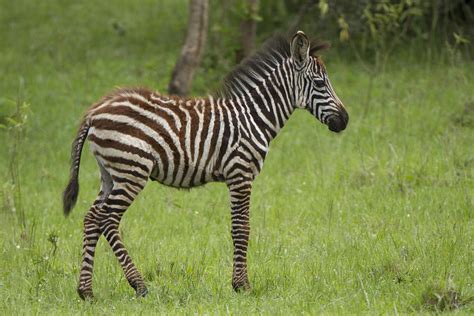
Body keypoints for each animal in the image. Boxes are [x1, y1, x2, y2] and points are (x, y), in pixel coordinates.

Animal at [63, 30, 348, 300]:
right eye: (320, 83)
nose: (345, 120)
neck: (253, 116)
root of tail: (95, 110)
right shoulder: (240, 174)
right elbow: (241, 228)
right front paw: (242, 285)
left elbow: (239, 228)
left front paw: (239, 283)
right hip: (132, 170)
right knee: (108, 220)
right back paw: (139, 285)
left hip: (110, 174)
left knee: (92, 218)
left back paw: (86, 291)